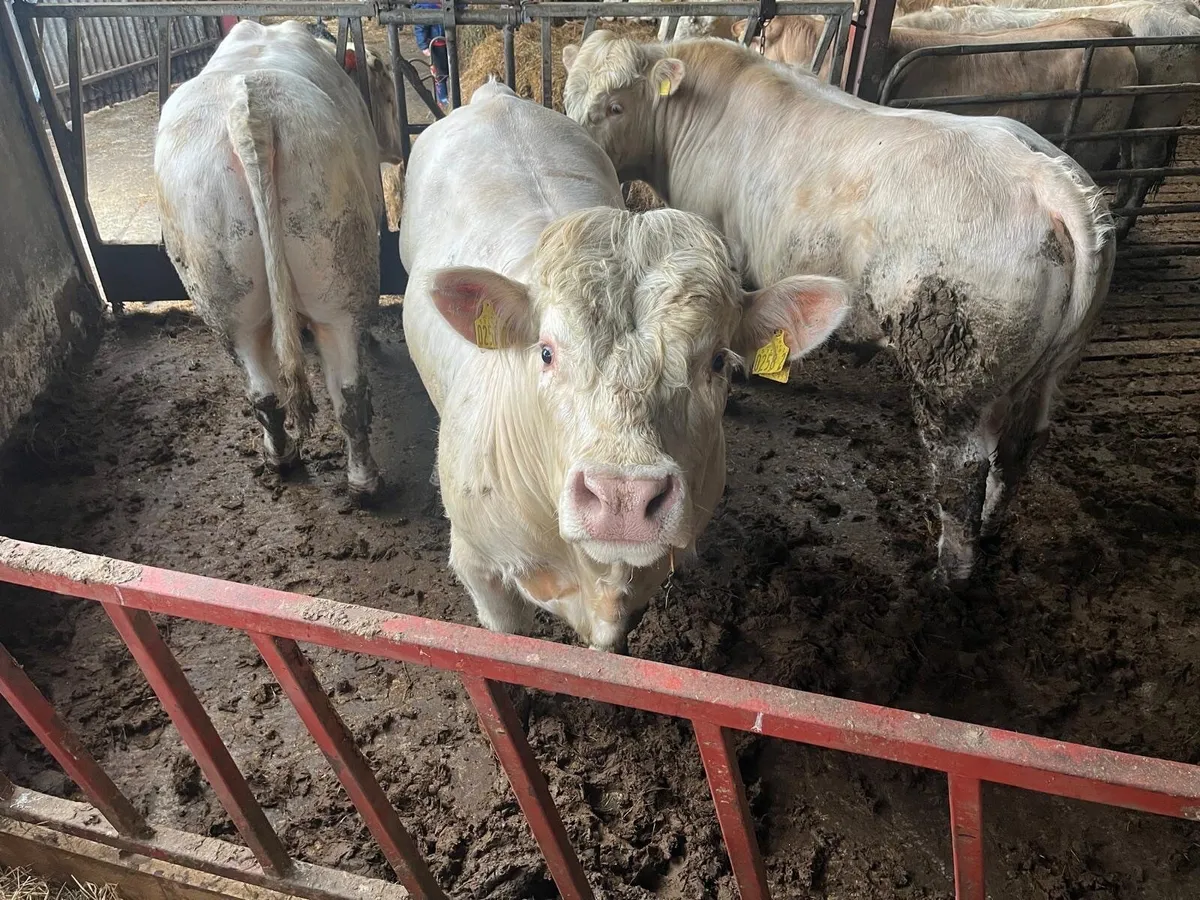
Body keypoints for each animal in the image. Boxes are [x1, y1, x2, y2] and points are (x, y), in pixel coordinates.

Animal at [155, 20, 404, 501]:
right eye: (384, 93)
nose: (399, 149)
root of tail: (249, 113)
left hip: (225, 291)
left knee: (266, 389)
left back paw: (285, 457)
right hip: (333, 278)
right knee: (341, 389)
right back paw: (360, 480)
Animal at [563, 33, 1116, 588]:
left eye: (615, 106)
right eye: (570, 96)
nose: (577, 139)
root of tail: (1046, 178)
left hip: (954, 372)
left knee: (963, 470)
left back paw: (950, 570)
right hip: (1048, 370)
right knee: (1021, 447)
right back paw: (992, 527)